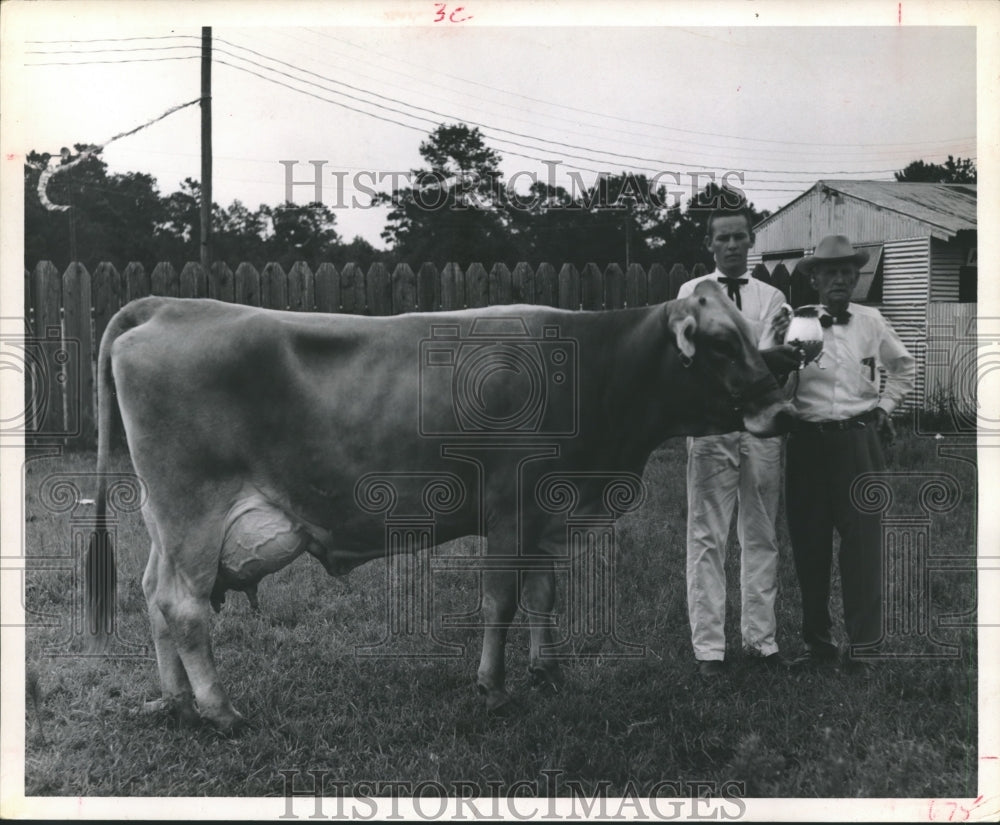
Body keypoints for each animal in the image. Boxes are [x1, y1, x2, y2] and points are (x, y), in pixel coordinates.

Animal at [87, 279, 791, 731]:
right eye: (721, 343)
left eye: (754, 335)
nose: (781, 410)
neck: (595, 367)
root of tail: (169, 305)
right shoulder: (511, 507)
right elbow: (501, 601)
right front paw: (493, 689)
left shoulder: (547, 511)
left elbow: (544, 596)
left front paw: (547, 672)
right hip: (193, 509)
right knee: (183, 605)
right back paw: (219, 711)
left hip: (164, 518)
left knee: (152, 595)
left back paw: (176, 702)